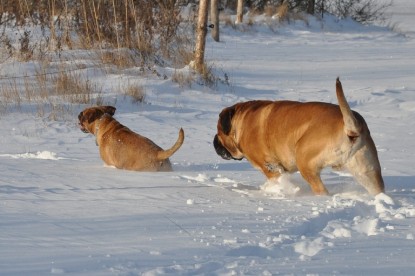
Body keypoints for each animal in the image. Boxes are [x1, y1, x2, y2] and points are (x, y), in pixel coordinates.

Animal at [214, 78, 386, 196]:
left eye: (218, 131)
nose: (214, 141)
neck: (242, 120)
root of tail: (350, 128)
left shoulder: (270, 167)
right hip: (368, 172)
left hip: (305, 161)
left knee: (321, 190)